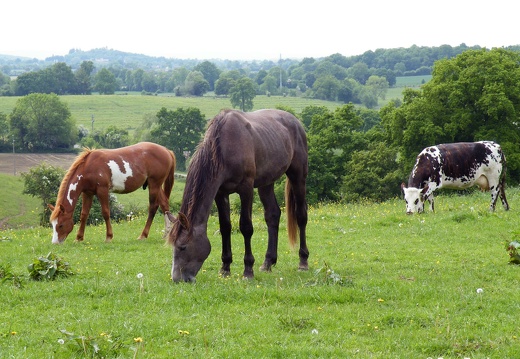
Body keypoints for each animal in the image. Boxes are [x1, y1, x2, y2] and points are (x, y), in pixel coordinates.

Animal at [167, 108, 306, 282]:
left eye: (183, 247)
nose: (177, 279)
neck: (224, 148)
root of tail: (295, 121)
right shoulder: (221, 193)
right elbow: (225, 227)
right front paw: (225, 268)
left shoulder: (246, 189)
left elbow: (246, 227)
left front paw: (248, 270)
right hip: (266, 183)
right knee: (272, 215)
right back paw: (268, 262)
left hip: (298, 175)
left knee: (301, 216)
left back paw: (303, 262)